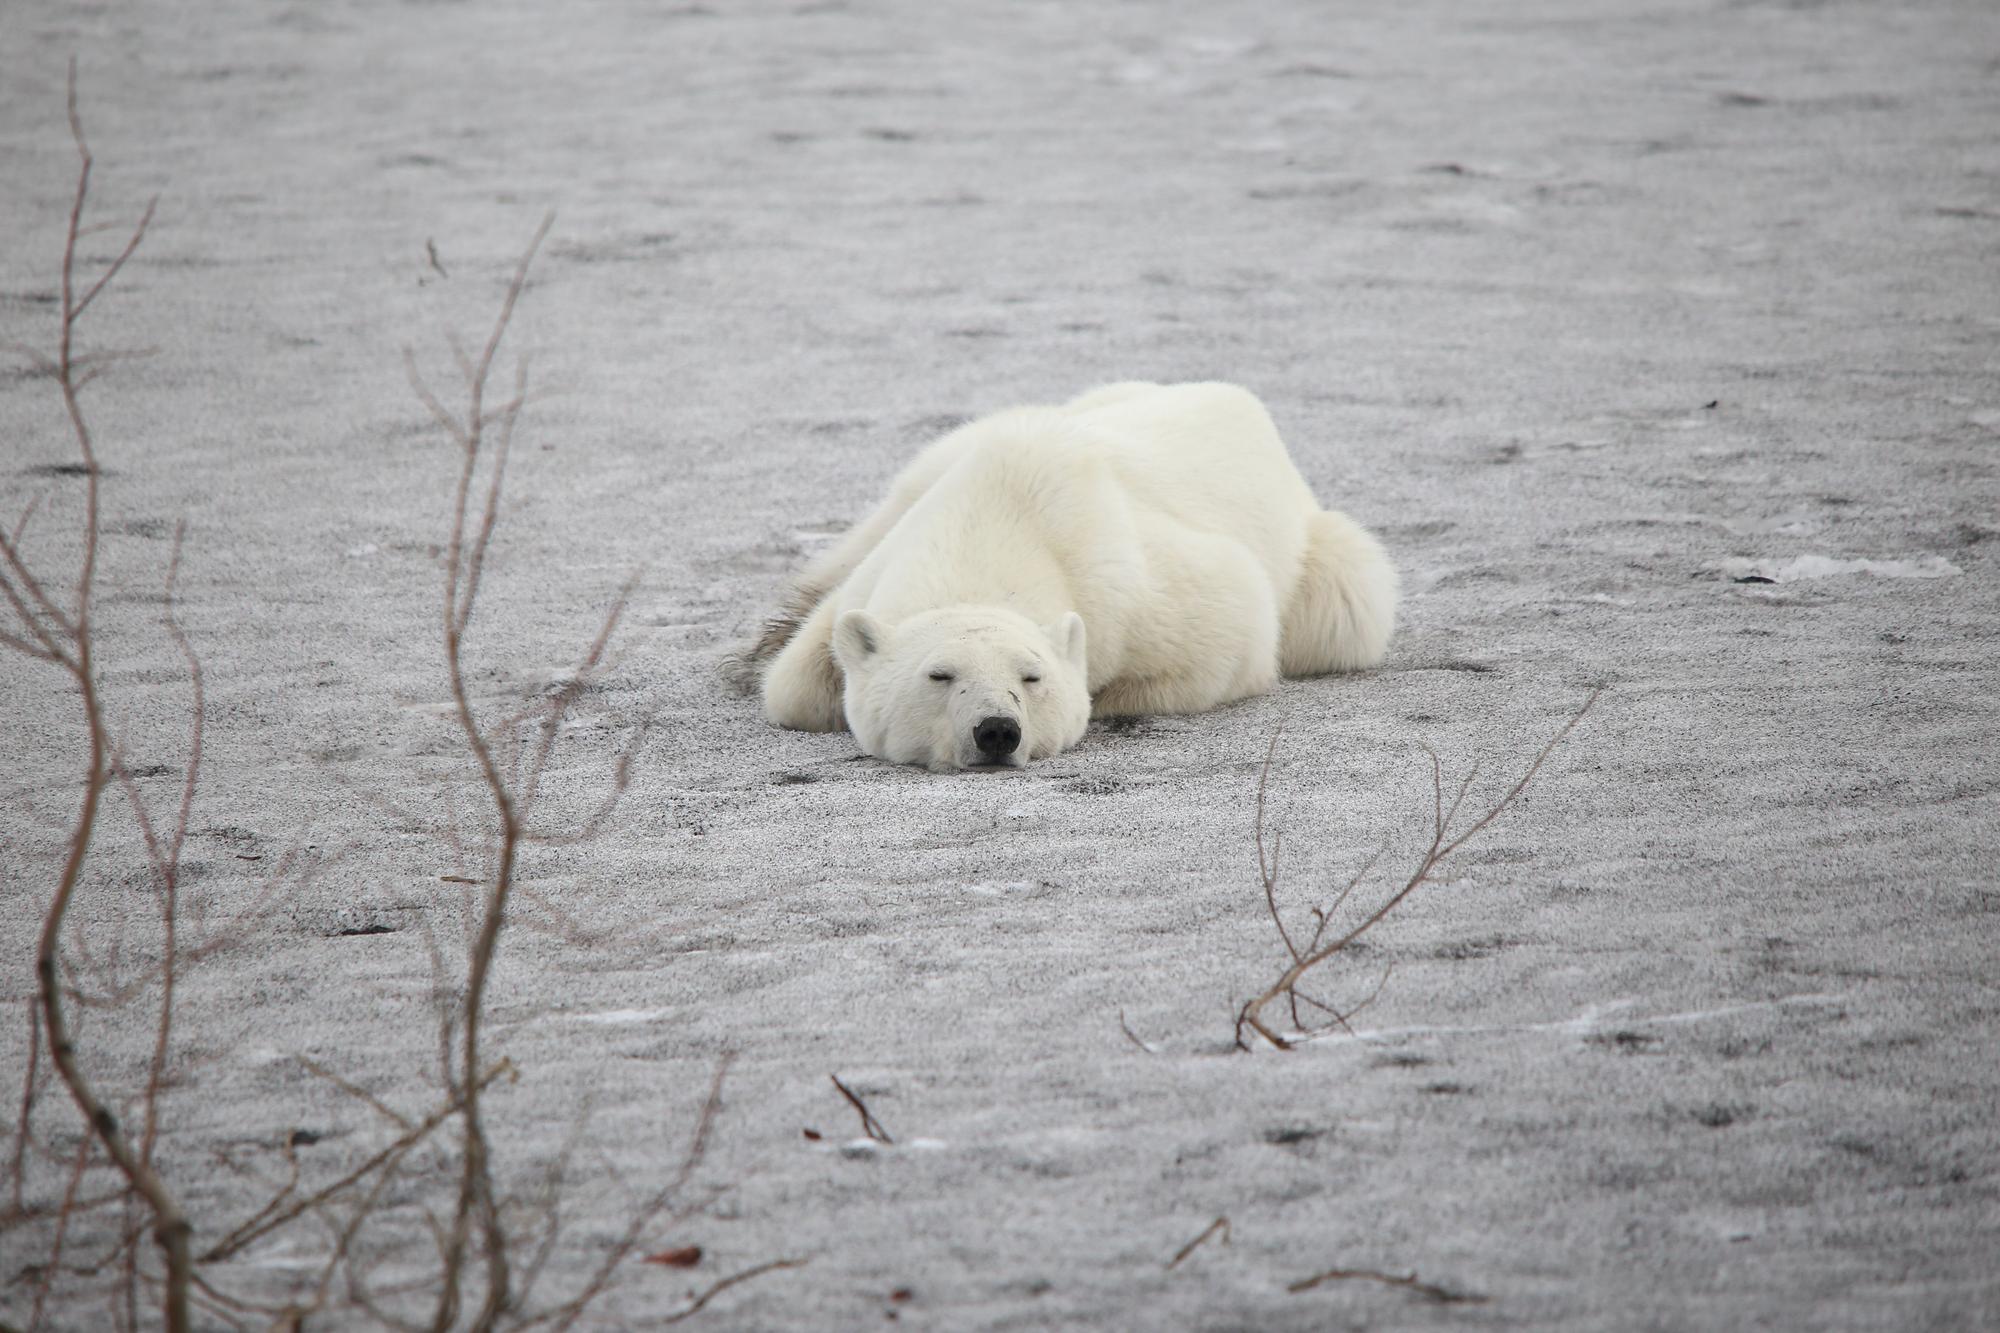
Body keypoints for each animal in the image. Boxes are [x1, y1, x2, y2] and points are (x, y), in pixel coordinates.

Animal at [728, 378, 1400, 768]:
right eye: (939, 675)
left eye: (1032, 677)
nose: (996, 731)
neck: (1000, 519)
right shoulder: (890, 555)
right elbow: (794, 685)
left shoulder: (1139, 589)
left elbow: (1232, 630)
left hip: (1325, 564)